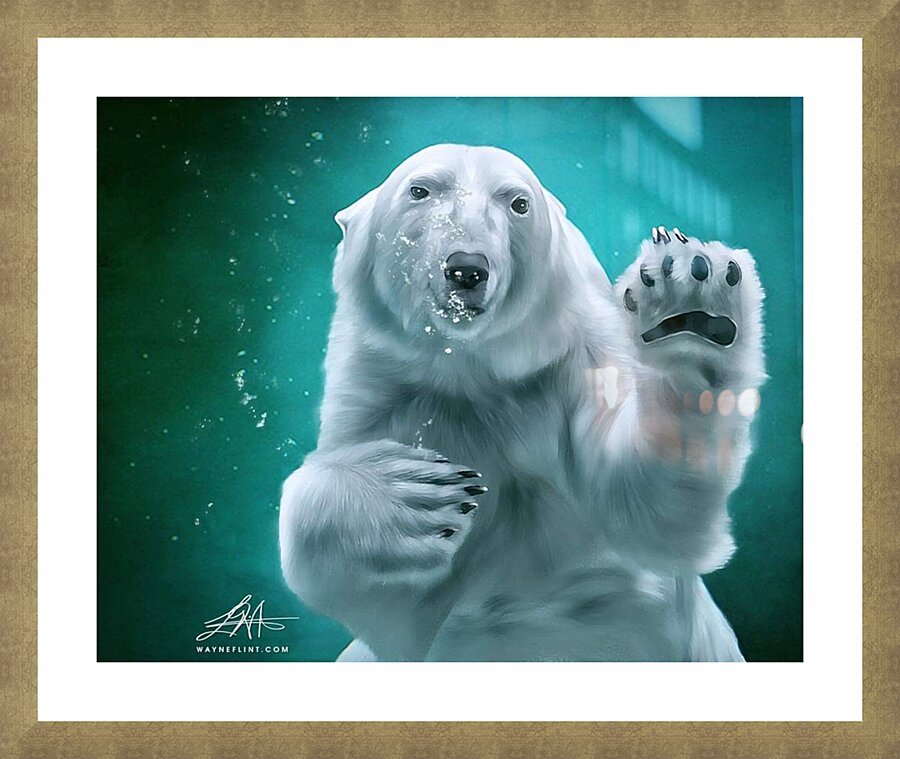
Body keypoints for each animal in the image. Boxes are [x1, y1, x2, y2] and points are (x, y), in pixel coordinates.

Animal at [279, 144, 765, 661]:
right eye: (421, 190)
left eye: (518, 203)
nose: (467, 268)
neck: (476, 368)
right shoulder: (384, 382)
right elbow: (391, 608)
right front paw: (410, 494)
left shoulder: (581, 353)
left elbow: (646, 510)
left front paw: (690, 303)